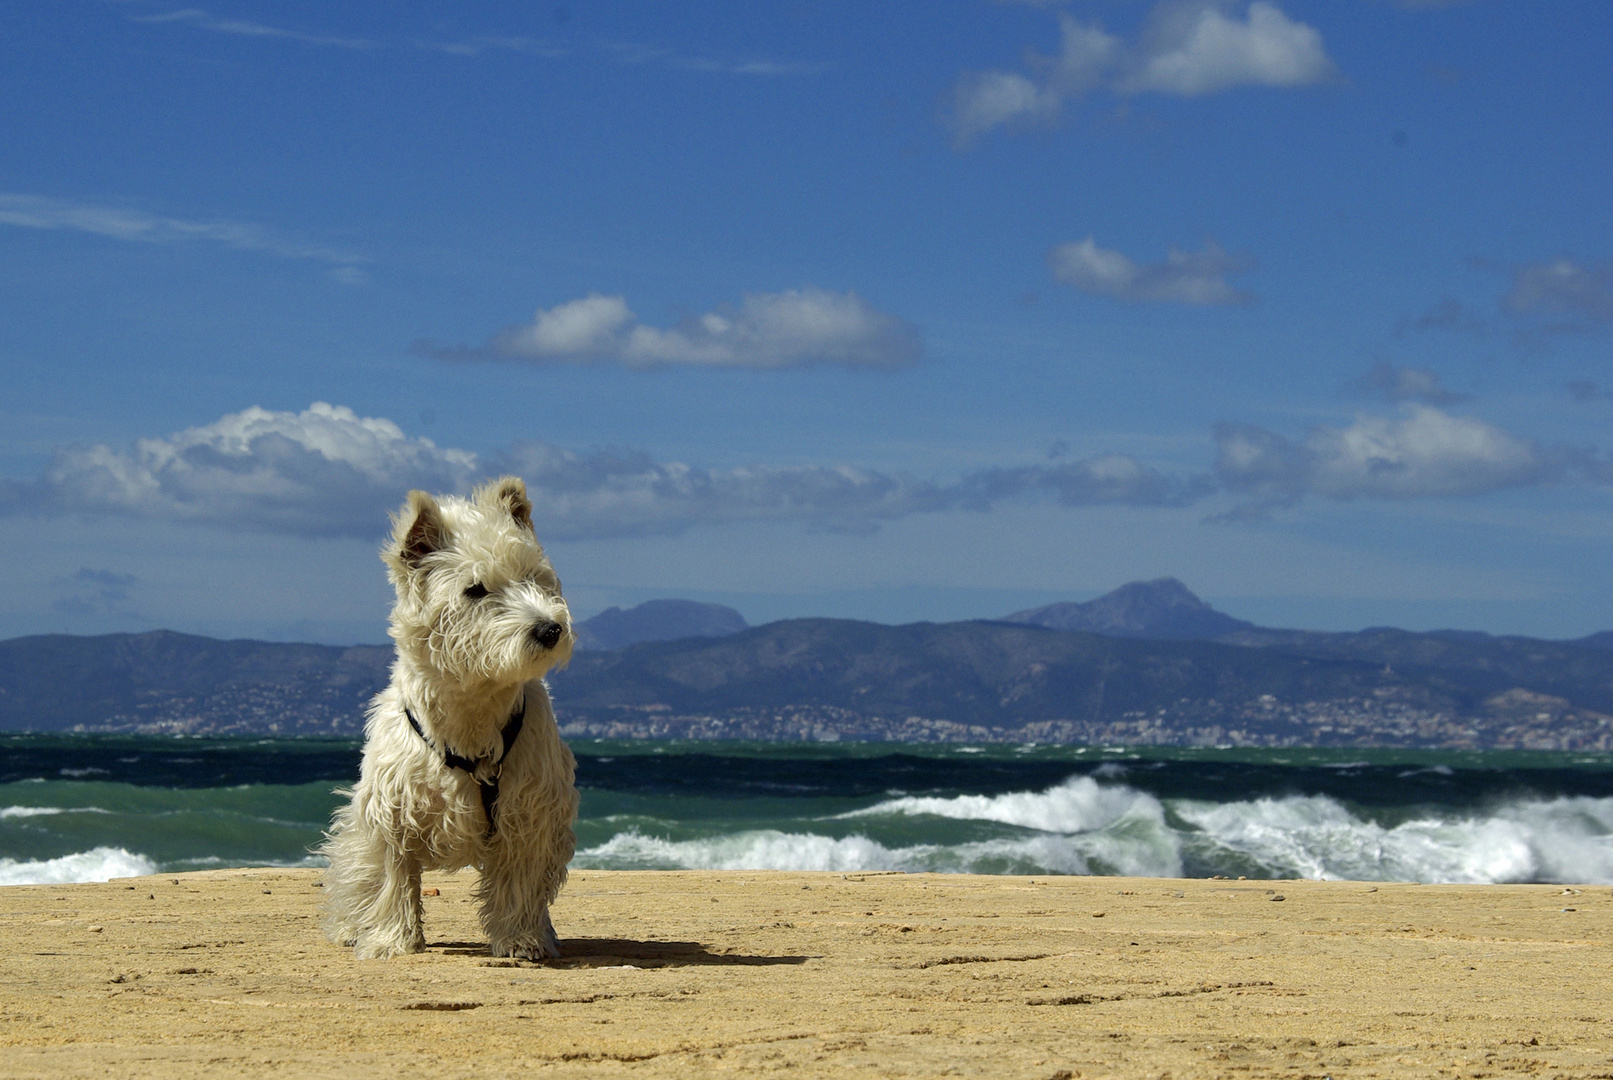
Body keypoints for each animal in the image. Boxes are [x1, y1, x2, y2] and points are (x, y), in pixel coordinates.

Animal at [317, 477, 577, 960]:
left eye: (534, 577)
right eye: (475, 590)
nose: (550, 629)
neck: (473, 708)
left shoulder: (528, 811)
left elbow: (520, 881)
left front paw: (521, 939)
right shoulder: (392, 813)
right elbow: (393, 879)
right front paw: (390, 942)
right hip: (357, 832)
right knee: (355, 876)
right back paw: (350, 928)